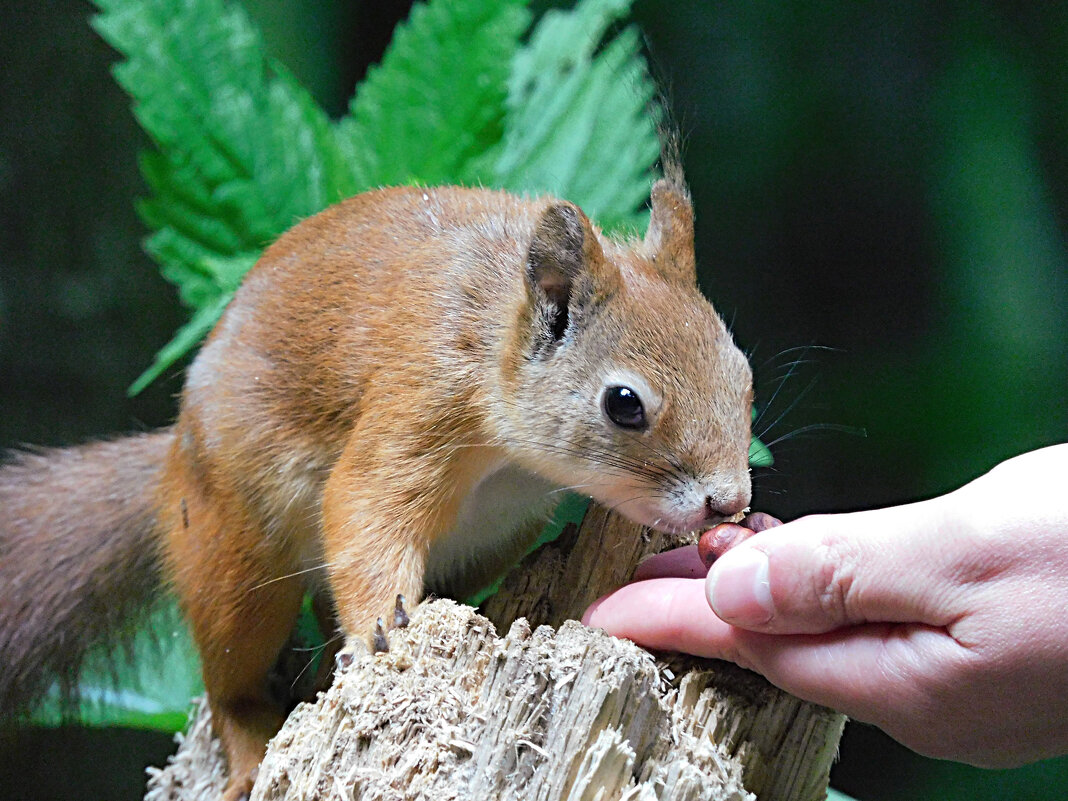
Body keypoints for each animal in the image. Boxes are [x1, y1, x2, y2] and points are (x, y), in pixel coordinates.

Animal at [0, 178, 753, 800]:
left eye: (741, 371)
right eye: (624, 404)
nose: (729, 502)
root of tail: (174, 453)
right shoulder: (421, 393)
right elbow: (364, 504)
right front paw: (382, 629)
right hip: (232, 554)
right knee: (231, 674)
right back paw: (248, 745)